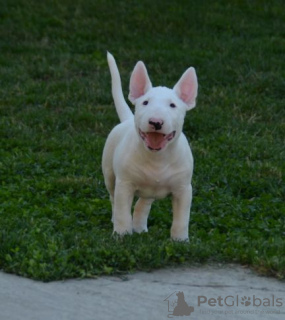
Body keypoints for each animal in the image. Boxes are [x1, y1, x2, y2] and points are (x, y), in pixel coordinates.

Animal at [102, 52, 197, 241]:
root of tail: (127, 119)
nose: (156, 122)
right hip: (109, 174)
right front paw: (121, 235)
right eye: (145, 102)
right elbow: (122, 212)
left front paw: (180, 240)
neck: (157, 158)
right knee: (113, 199)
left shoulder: (183, 189)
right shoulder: (125, 184)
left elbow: (182, 218)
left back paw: (139, 227)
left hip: (150, 190)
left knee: (143, 203)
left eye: (173, 105)